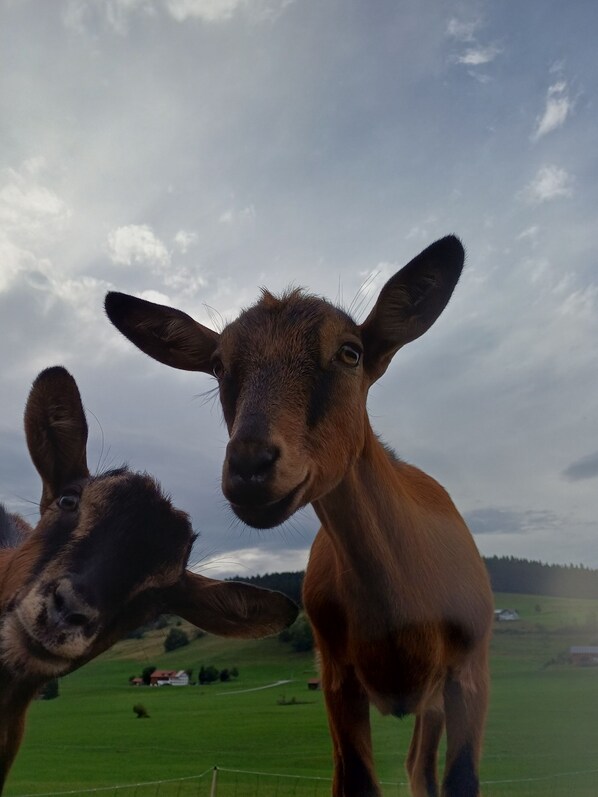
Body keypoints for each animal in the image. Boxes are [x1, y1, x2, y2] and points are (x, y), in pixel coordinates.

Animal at [105, 235, 494, 797]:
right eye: (218, 365)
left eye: (350, 352)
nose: (250, 465)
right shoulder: (337, 677)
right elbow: (357, 782)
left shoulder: (470, 674)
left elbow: (461, 780)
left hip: (435, 700)